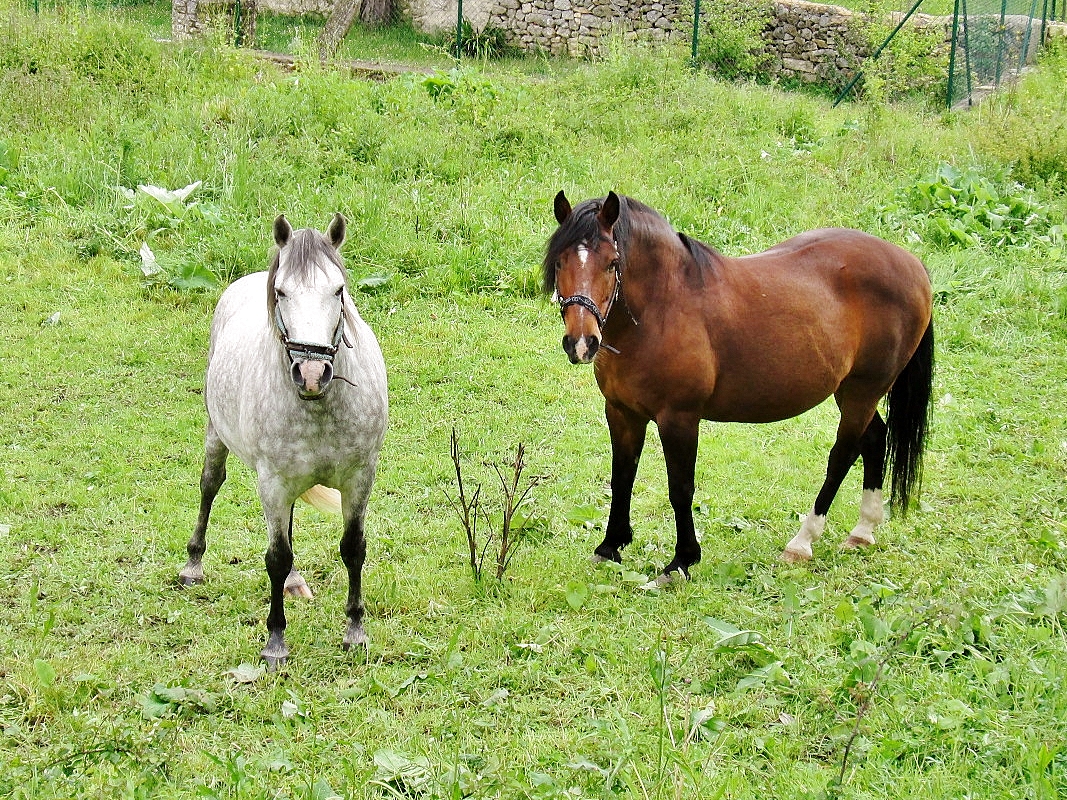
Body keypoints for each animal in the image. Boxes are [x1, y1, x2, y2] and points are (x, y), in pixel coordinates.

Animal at [181, 214, 390, 669]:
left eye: (338, 290)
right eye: (281, 292)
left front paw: (355, 631)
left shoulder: (359, 477)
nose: (312, 374)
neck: (319, 409)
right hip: (217, 437)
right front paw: (275, 641)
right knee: (209, 486)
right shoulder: (273, 482)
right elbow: (276, 558)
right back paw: (192, 566)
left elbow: (353, 549)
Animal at [546, 192, 930, 584]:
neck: (663, 306)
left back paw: (802, 542)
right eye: (559, 261)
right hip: (852, 392)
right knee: (876, 439)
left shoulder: (679, 419)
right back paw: (863, 531)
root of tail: (912, 264)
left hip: (862, 392)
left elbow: (680, 489)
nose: (581, 343)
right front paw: (610, 547)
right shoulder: (622, 412)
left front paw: (681, 562)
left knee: (842, 455)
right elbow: (622, 477)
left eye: (612, 264)